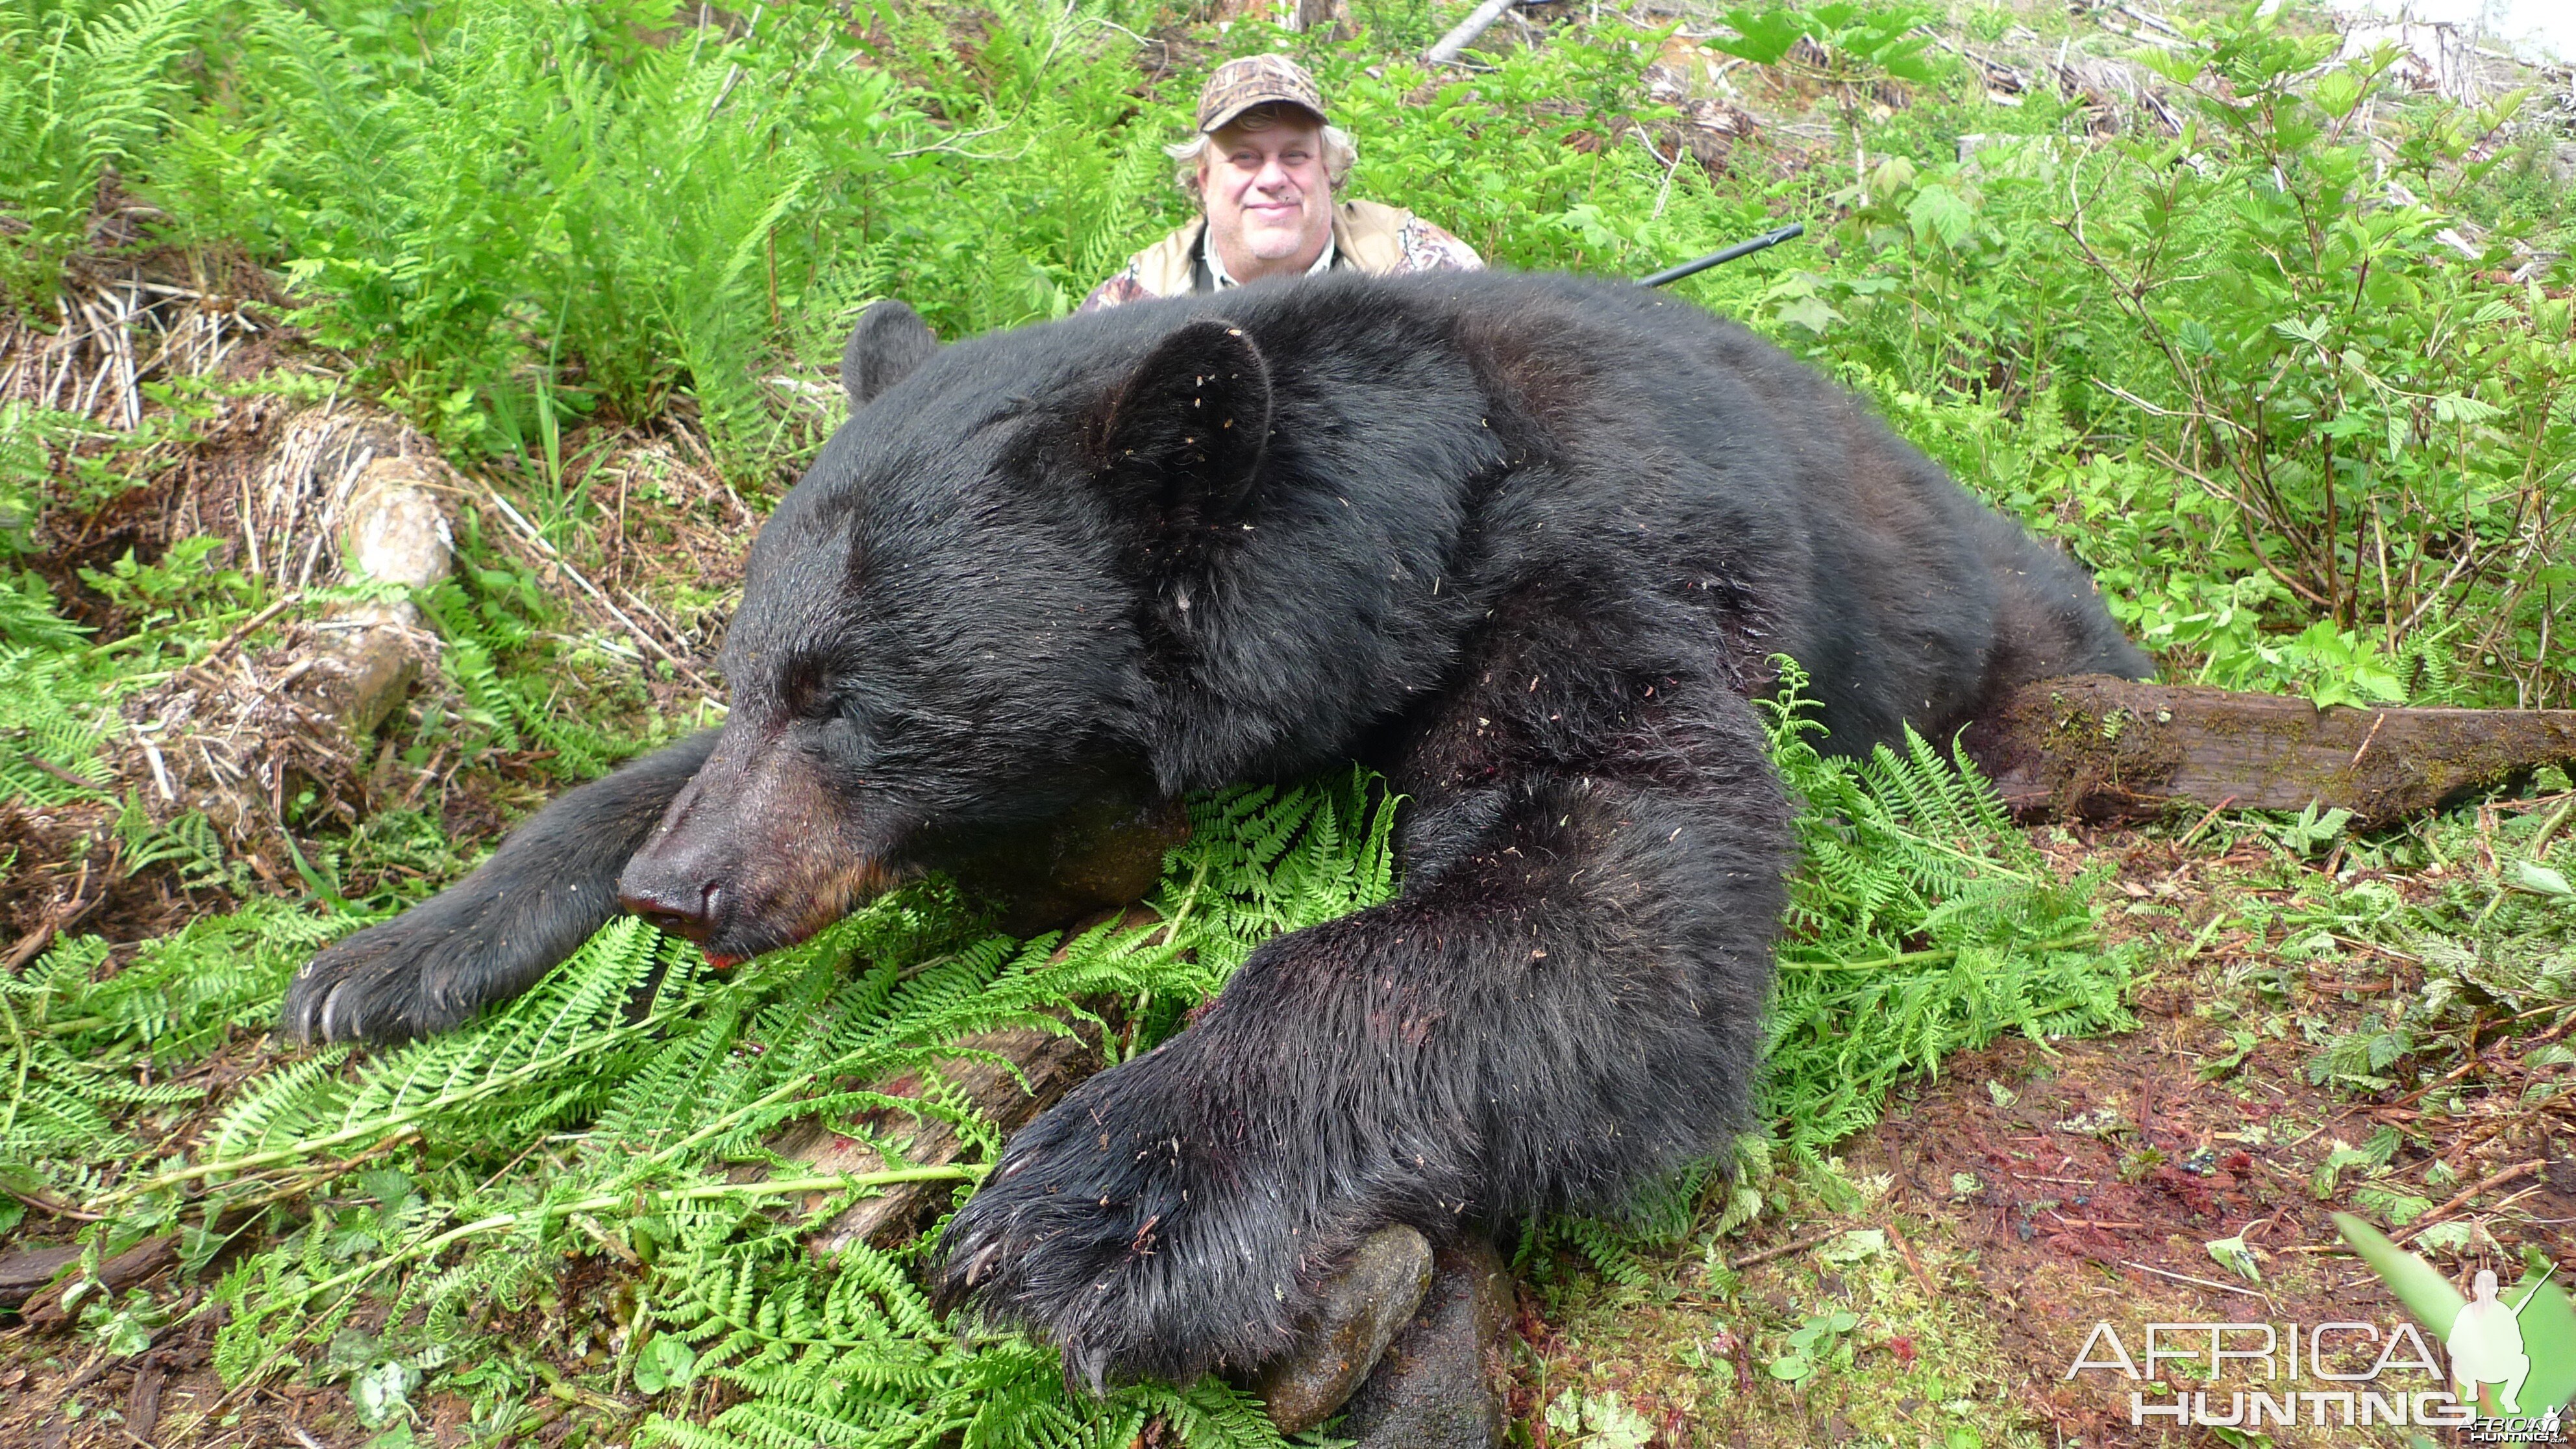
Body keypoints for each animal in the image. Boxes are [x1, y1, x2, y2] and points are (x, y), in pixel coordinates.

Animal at [277, 268, 2153, 1392]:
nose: (681, 893)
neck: (1421, 509)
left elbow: (1604, 886)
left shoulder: (1599, 567)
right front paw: (390, 954)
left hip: (2013, 622)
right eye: (752, 674)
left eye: (848, 697)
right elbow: (621, 781)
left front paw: (1094, 1203)